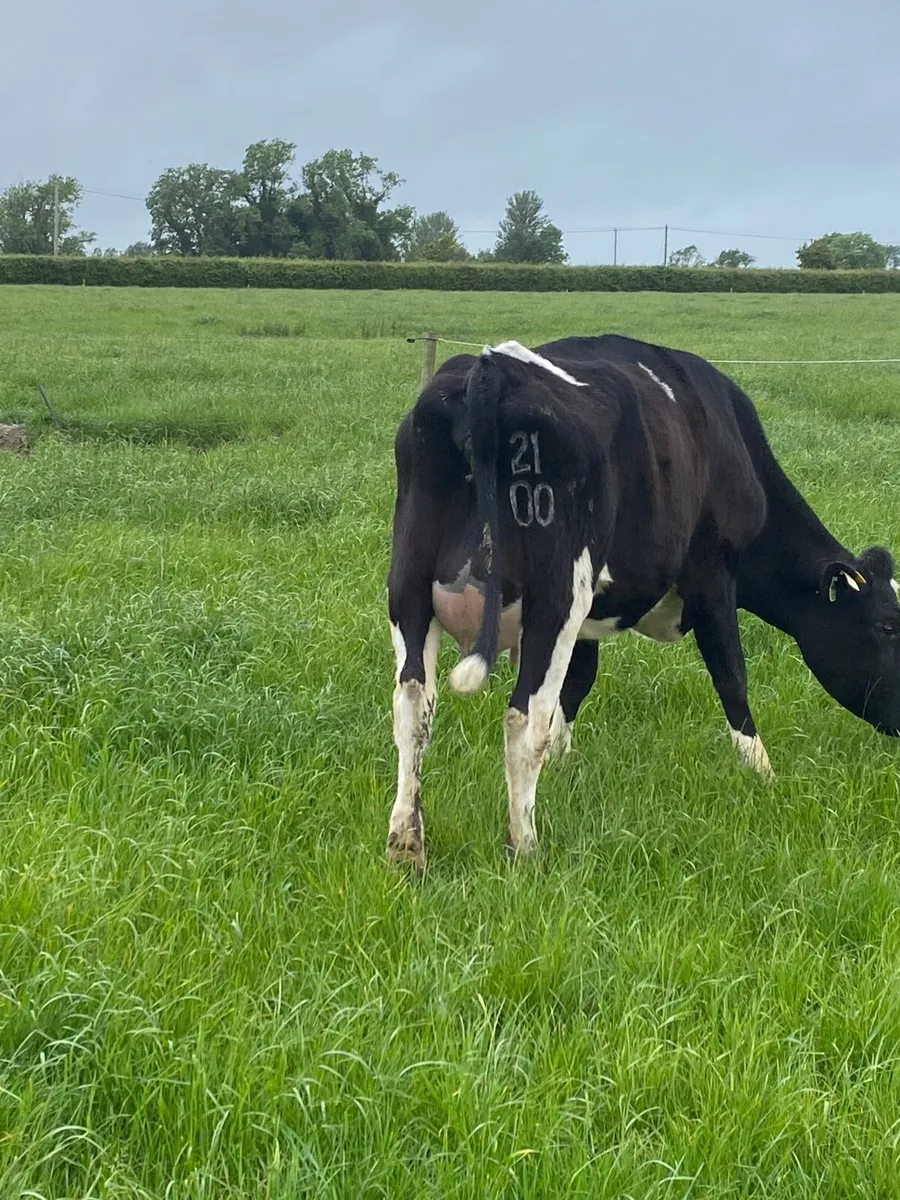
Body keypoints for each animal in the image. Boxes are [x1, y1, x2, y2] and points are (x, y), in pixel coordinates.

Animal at [386, 333, 900, 870]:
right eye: (887, 625)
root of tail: (491, 371)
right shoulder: (712, 576)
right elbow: (731, 675)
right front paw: (761, 771)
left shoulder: (592, 612)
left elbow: (578, 684)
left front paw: (563, 763)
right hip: (556, 596)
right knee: (523, 719)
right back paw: (526, 848)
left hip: (409, 587)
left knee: (413, 704)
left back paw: (407, 847)